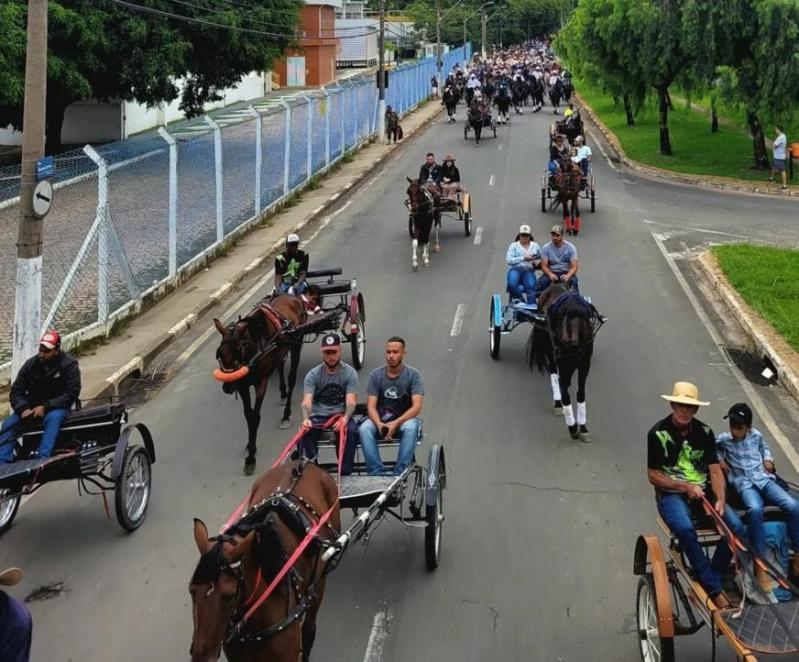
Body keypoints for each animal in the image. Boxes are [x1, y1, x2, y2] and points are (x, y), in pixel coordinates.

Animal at [191, 462, 340, 662]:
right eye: (192, 591)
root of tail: (304, 462)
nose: (201, 657)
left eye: (229, 596)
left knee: (309, 627)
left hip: (319, 582)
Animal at [214, 296, 304, 478]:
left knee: (292, 377)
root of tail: (293, 298)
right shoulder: (242, 386)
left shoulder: (261, 382)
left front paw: (251, 459)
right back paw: (282, 392)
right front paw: (250, 445)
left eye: (237, 352)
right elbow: (248, 415)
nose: (227, 387)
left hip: (296, 343)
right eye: (220, 355)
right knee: (280, 364)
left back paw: (286, 414)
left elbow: (255, 416)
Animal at [524, 284, 600, 440]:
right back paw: (559, 404)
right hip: (550, 348)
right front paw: (572, 426)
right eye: (560, 318)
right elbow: (563, 387)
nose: (566, 344)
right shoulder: (562, 360)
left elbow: (580, 393)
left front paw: (583, 428)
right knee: (554, 373)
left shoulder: (584, 363)